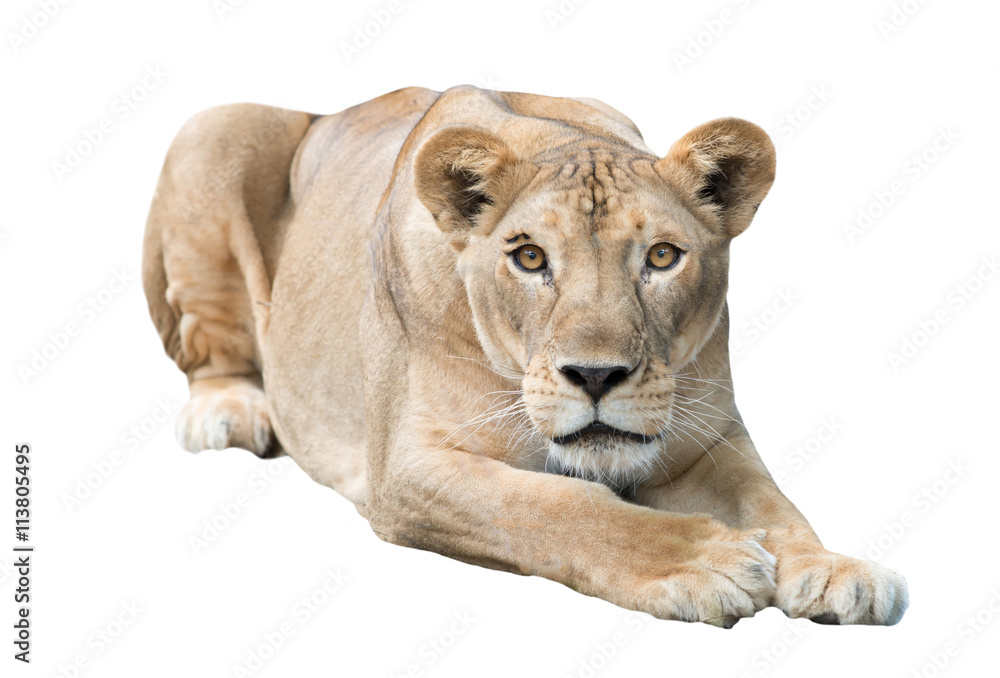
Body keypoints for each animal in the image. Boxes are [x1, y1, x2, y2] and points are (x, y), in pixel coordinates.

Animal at [142, 85, 908, 627]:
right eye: (530, 257)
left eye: (662, 256)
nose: (597, 376)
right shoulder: (410, 466)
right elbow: (558, 504)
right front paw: (705, 561)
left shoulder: (703, 439)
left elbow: (770, 501)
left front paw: (833, 568)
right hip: (214, 129)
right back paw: (230, 413)